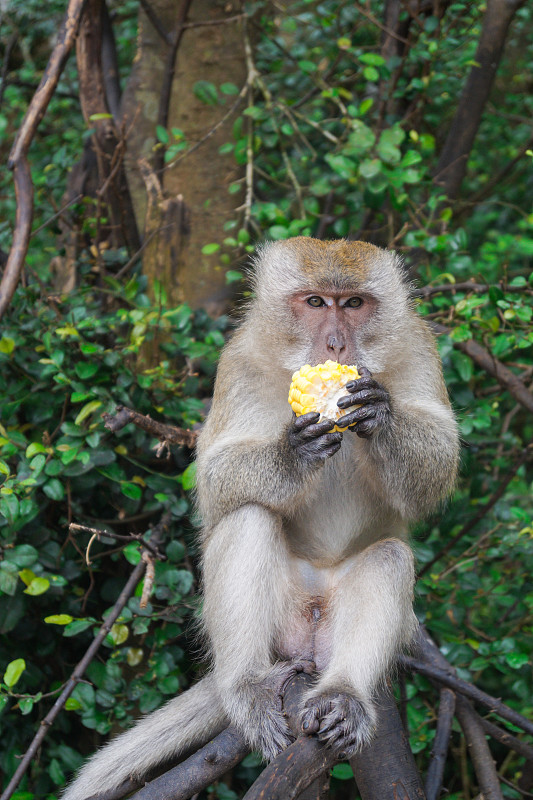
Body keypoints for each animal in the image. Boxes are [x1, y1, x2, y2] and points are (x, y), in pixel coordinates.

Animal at [62, 238, 458, 800]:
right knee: (249, 515)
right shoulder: (240, 361)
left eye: (354, 303)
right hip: (279, 624)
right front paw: (293, 455)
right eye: (315, 302)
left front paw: (380, 413)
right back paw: (247, 687)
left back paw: (343, 695)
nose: (336, 344)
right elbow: (214, 479)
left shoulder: (420, 346)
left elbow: (440, 462)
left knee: (388, 556)